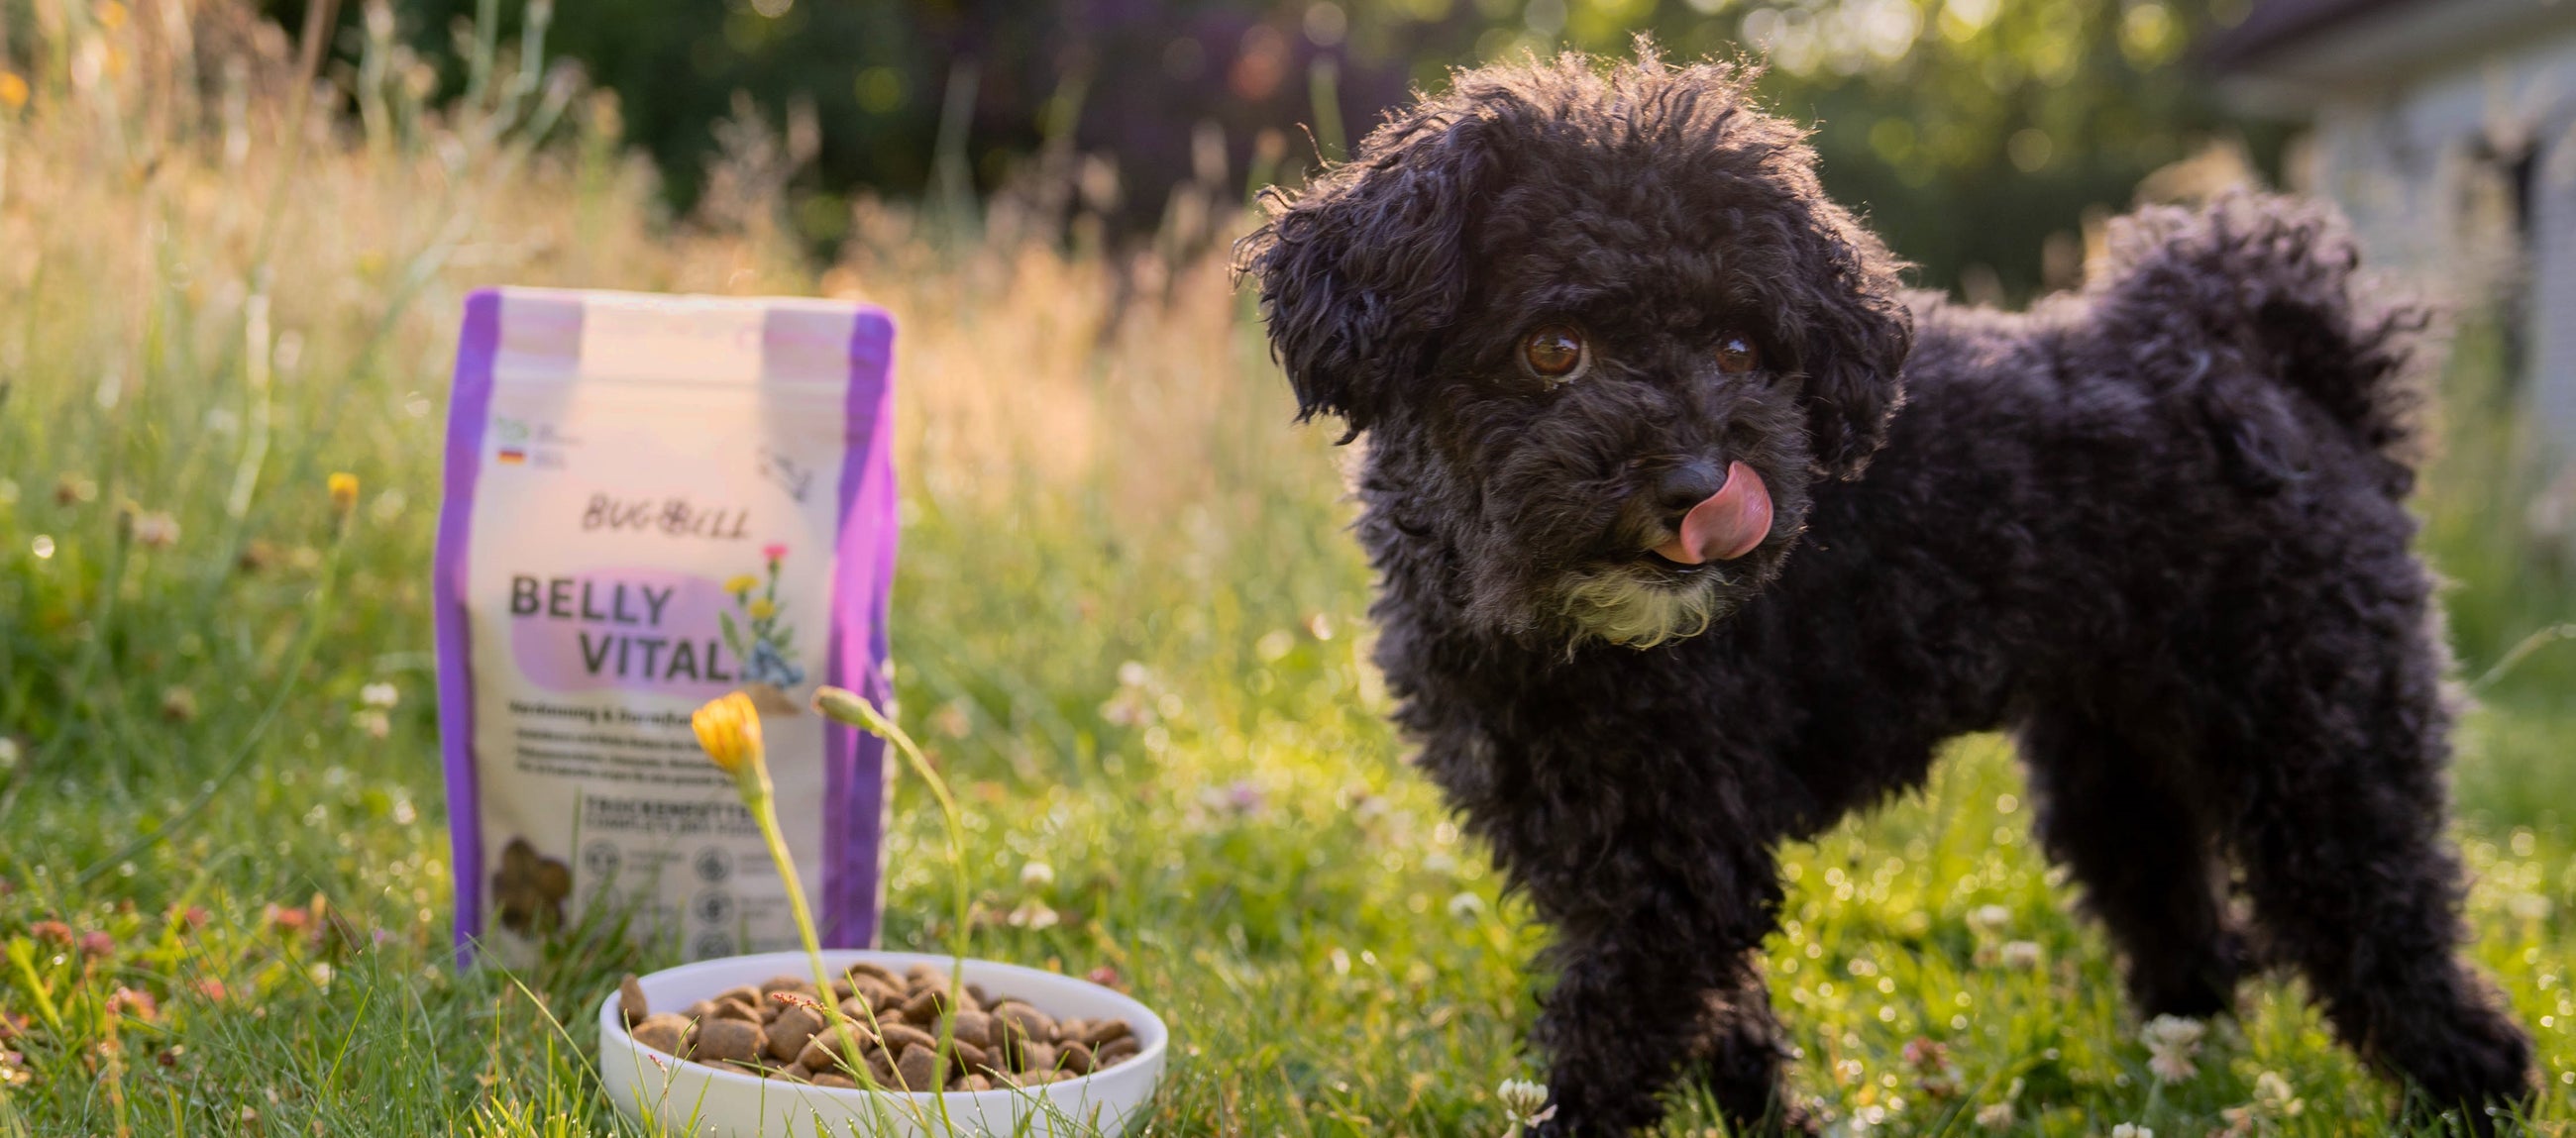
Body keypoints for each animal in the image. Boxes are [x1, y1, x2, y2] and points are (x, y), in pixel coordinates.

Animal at [1231, 51, 2534, 1127]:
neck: (1531, 614)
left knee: (2395, 948)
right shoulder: (1623, 847)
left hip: (2319, 741)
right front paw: (1770, 1123)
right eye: (1554, 348)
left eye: (1741, 352)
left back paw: (2471, 1095)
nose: (1701, 483)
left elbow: (1610, 1047)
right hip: (2117, 763)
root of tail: (2284, 370)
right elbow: (1729, 1027)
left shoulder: (1668, 870)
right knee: (2186, 937)